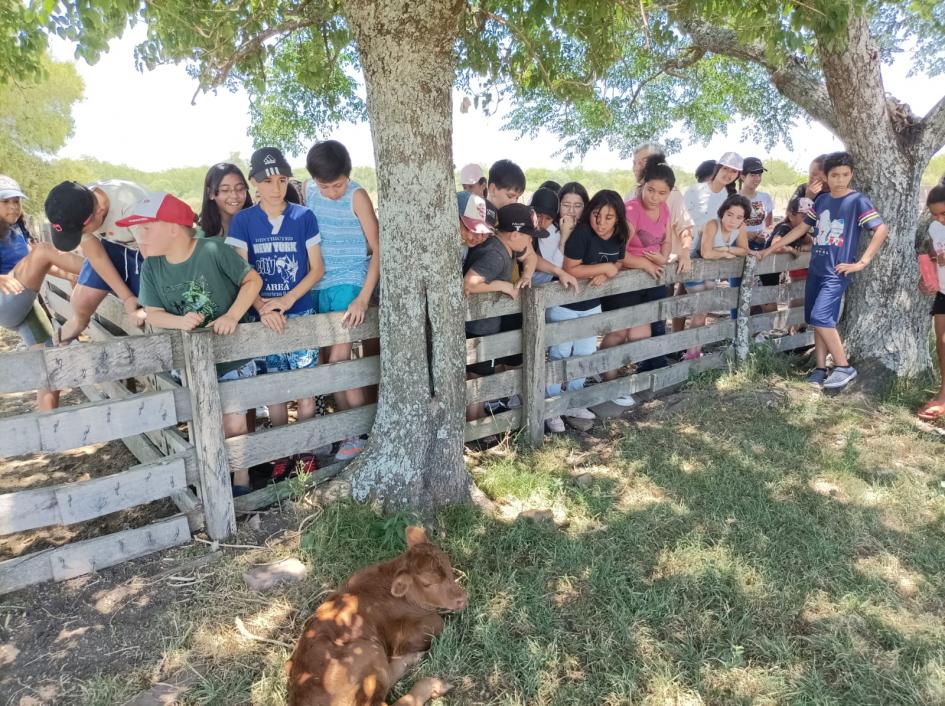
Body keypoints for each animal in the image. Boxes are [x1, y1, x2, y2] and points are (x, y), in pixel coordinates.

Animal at [286, 524, 466, 700]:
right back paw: (432, 682)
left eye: (448, 566)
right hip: (370, 650)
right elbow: (438, 622)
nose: (463, 598)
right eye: (427, 583)